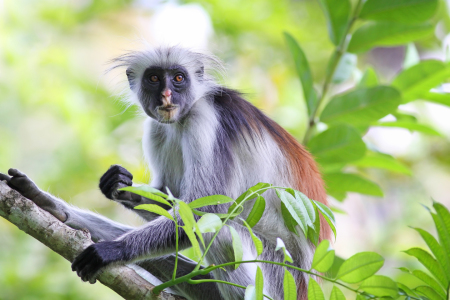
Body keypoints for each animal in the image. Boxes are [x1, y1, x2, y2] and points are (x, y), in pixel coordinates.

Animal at [0, 46, 330, 300]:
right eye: (155, 78)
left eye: (179, 78)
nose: (168, 94)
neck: (184, 115)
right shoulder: (157, 127)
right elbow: (170, 199)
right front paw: (116, 186)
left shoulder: (203, 120)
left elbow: (204, 210)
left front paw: (112, 250)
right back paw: (56, 210)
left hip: (275, 274)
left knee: (220, 231)